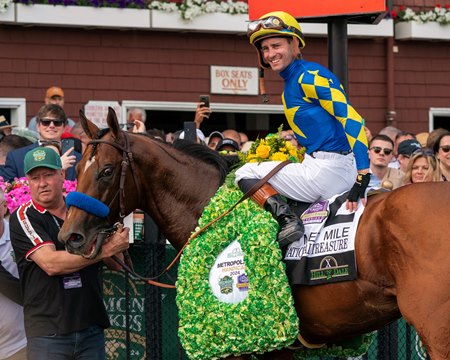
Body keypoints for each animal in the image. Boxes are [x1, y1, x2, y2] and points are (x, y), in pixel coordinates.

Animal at [59, 109, 450, 360]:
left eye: (107, 171)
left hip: (436, 329)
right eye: (77, 169)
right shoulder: (281, 349)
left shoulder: (238, 346)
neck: (206, 205)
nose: (70, 236)